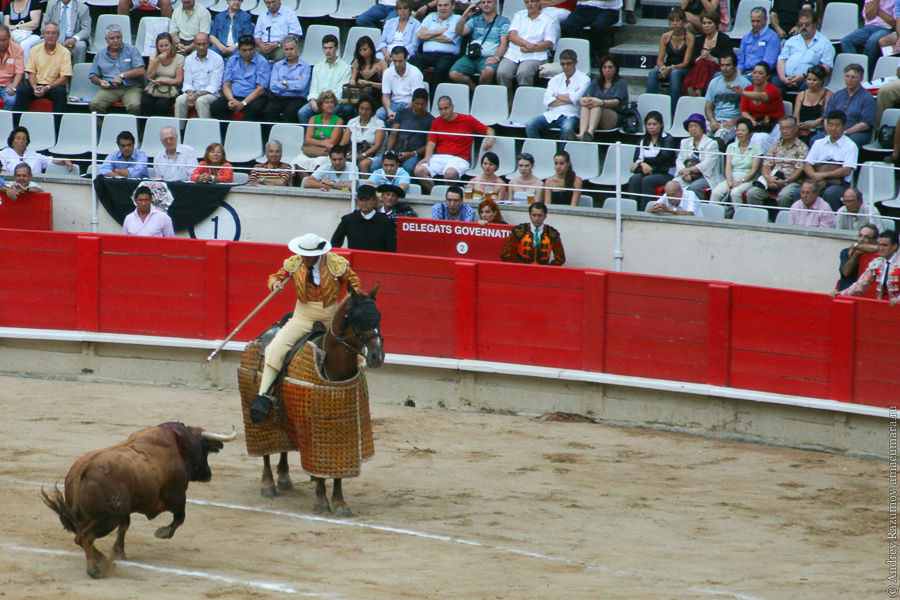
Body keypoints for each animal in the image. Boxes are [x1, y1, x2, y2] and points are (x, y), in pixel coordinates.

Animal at [39, 420, 236, 580]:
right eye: (205, 450)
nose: (208, 473)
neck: (179, 445)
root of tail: (83, 469)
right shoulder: (177, 496)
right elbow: (180, 518)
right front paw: (162, 532)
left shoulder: (125, 511)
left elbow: (124, 527)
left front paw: (119, 553)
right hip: (108, 519)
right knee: (85, 537)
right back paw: (95, 570)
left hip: (95, 517)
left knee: (80, 537)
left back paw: (105, 561)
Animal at [239, 286, 384, 516]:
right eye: (356, 318)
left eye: (378, 316)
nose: (377, 356)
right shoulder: (311, 430)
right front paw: (321, 499)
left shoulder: (342, 430)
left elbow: (337, 470)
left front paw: (340, 503)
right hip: (256, 414)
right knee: (265, 451)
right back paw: (268, 484)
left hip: (286, 415)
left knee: (282, 446)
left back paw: (284, 477)